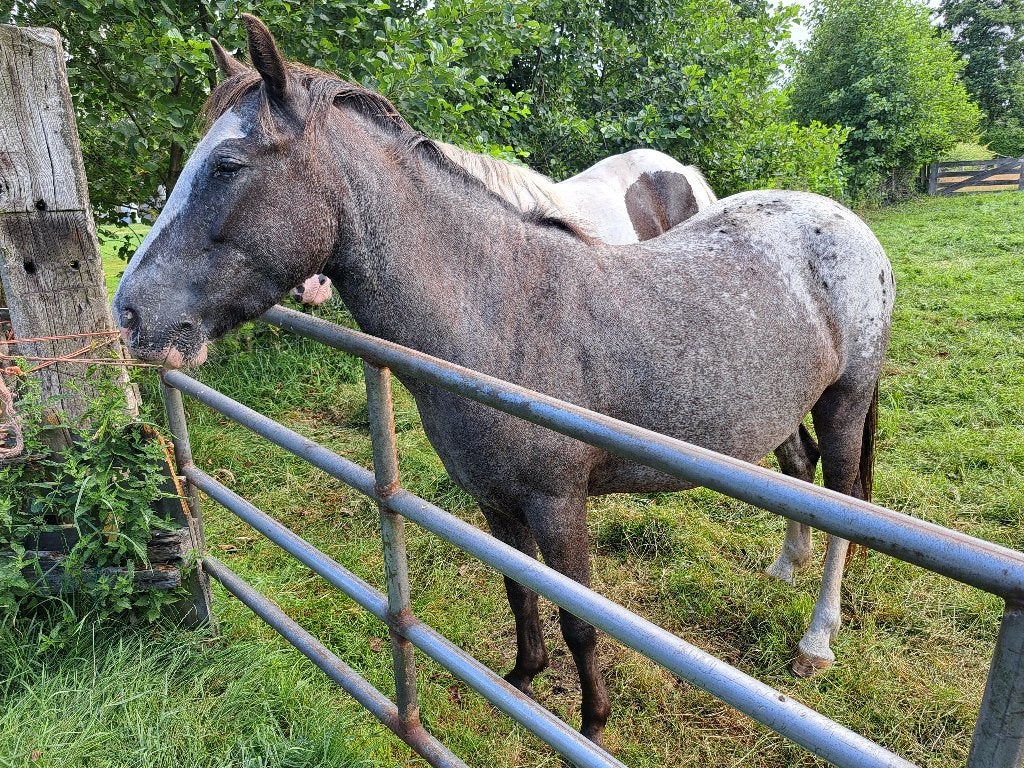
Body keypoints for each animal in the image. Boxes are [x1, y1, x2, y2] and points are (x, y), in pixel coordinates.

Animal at [113, 15, 894, 746]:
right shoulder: (494, 500)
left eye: (227, 164)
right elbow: (518, 590)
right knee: (798, 470)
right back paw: (783, 568)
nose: (131, 314)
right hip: (782, 408)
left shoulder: (558, 502)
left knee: (844, 500)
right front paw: (520, 681)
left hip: (846, 400)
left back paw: (816, 641)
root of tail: (843, 223)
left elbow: (578, 617)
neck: (502, 310)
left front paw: (592, 723)